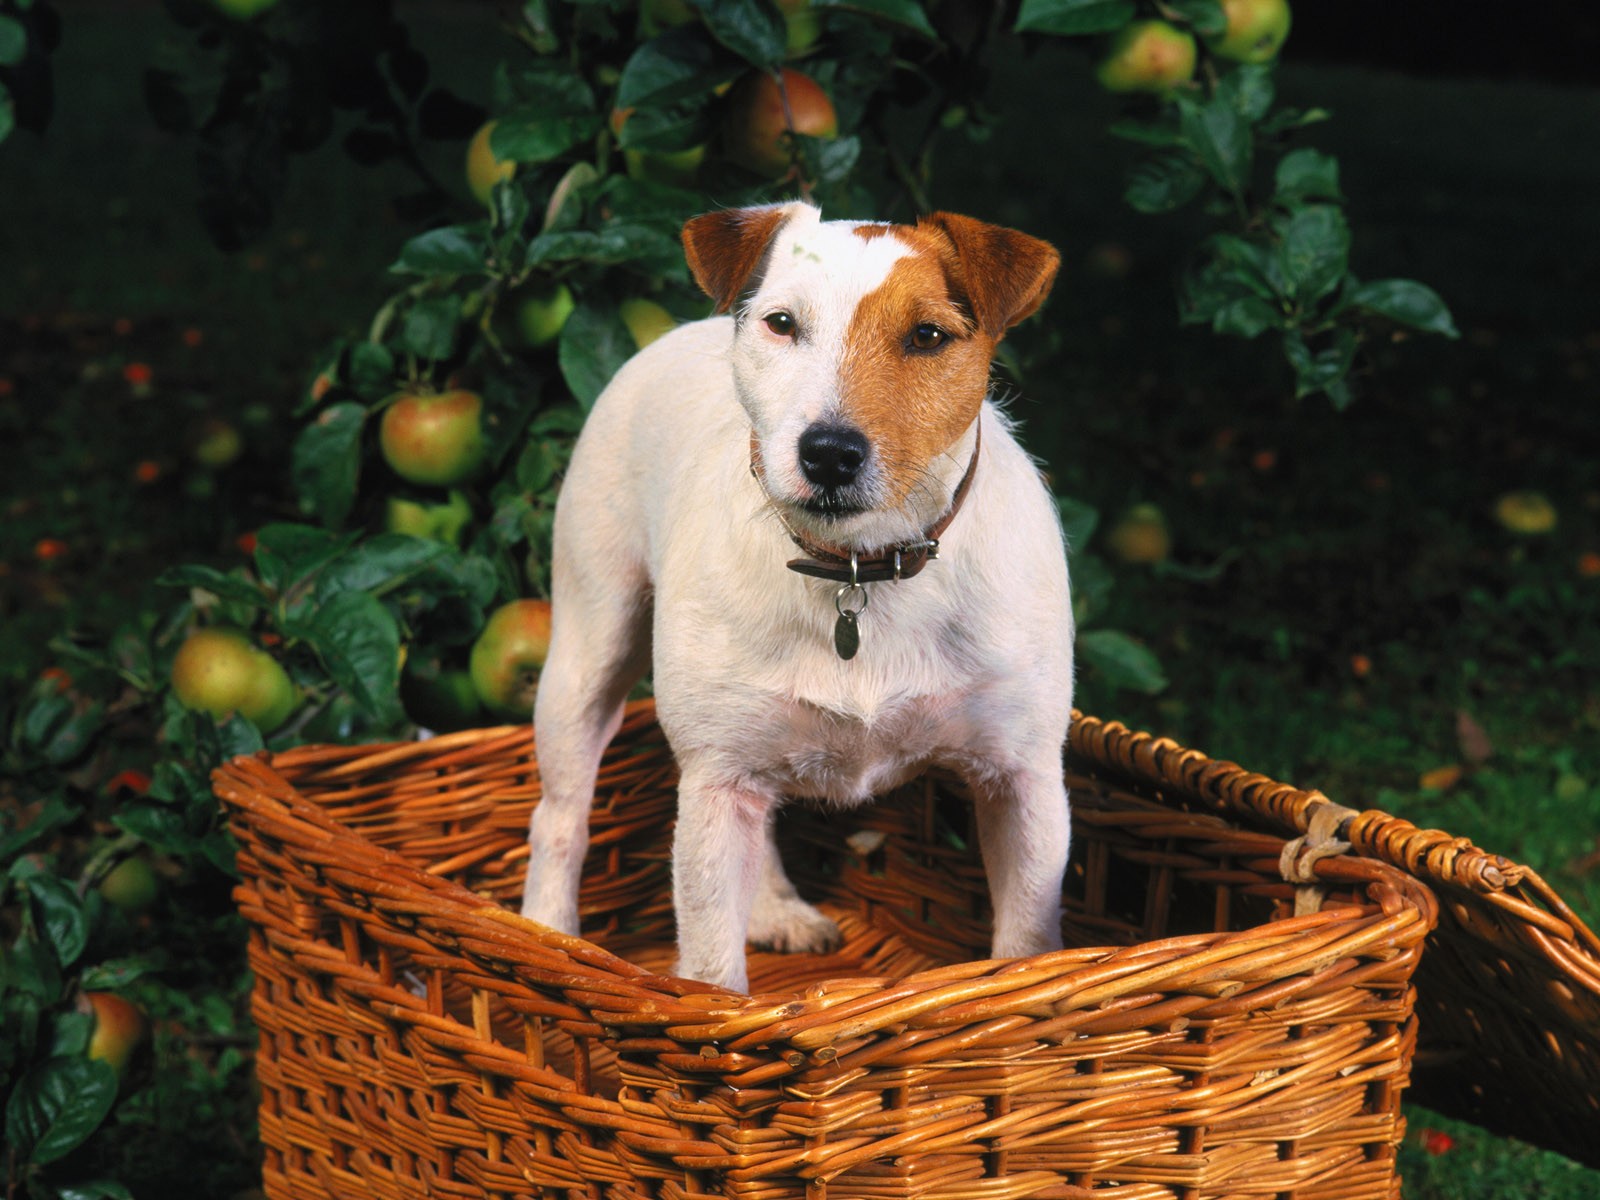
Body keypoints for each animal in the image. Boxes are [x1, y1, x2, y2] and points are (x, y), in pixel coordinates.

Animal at [524, 204, 1075, 998]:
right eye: (782, 324)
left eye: (928, 336)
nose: (829, 453)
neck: (860, 572)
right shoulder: (718, 781)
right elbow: (712, 970)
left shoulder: (1022, 779)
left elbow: (1027, 943)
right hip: (587, 658)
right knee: (561, 817)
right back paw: (545, 932)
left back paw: (774, 907)